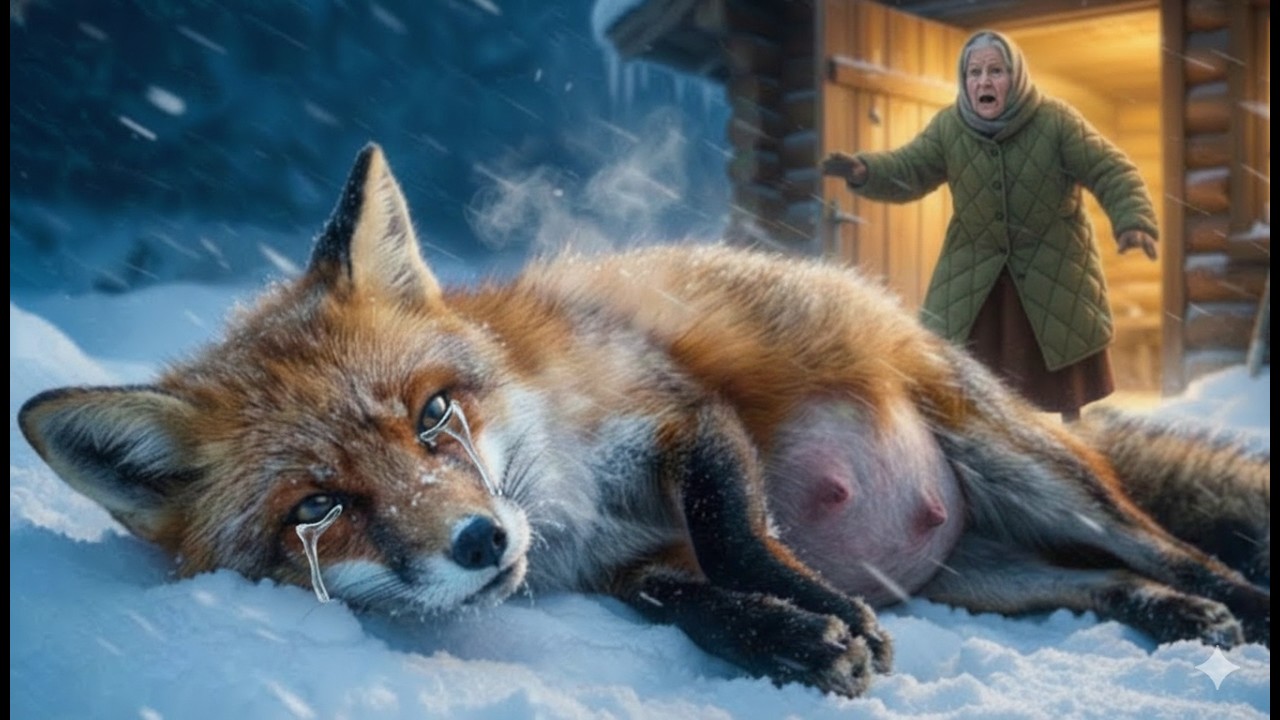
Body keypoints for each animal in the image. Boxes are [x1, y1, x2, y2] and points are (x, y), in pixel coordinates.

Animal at [19, 144, 1269, 698]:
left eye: (434, 413)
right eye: (316, 507)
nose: (481, 542)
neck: (558, 495)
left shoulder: (676, 413)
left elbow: (734, 531)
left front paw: (814, 613)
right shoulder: (626, 567)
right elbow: (698, 607)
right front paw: (797, 644)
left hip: (1027, 467)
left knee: (1175, 549)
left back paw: (1231, 608)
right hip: (980, 579)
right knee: (1105, 583)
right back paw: (1171, 620)